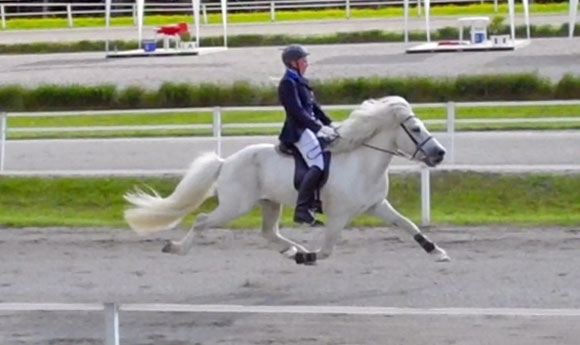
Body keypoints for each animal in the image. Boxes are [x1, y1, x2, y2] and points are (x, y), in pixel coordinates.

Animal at [122, 94, 450, 264]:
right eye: (416, 129)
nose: (440, 153)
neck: (362, 164)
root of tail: (226, 162)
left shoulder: (376, 205)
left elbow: (407, 225)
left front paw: (437, 251)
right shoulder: (338, 215)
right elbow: (328, 248)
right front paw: (310, 256)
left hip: (270, 203)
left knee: (268, 233)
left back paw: (293, 249)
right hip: (235, 206)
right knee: (203, 221)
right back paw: (177, 248)